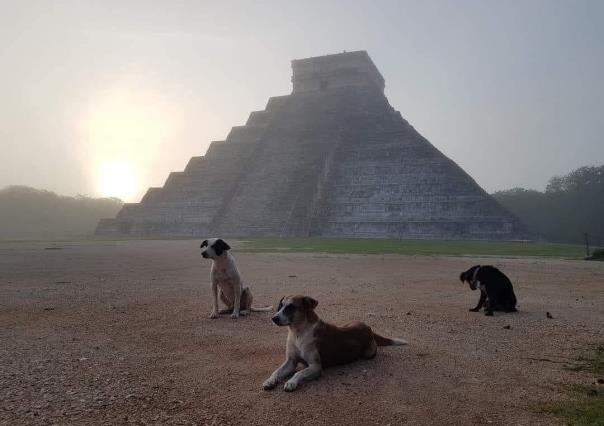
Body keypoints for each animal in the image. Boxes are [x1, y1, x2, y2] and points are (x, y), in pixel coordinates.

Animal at [264, 294, 408, 392]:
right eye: (280, 306)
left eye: (291, 307)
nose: (274, 318)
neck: (298, 333)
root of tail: (368, 328)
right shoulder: (291, 361)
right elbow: (276, 371)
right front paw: (270, 380)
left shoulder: (316, 367)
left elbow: (299, 373)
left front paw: (291, 382)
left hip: (369, 353)